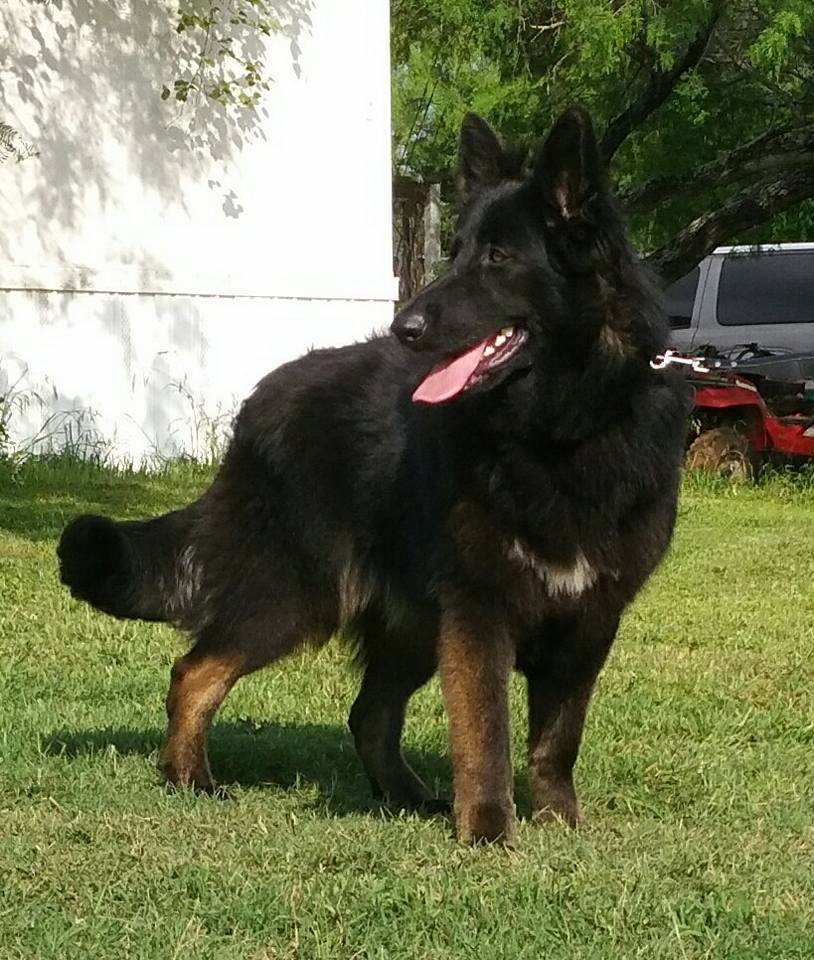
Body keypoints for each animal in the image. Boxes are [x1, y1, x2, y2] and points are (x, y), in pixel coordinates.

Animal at [57, 107, 692, 840]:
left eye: (498, 258)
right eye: (457, 252)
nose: (404, 326)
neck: (559, 430)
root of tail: (256, 406)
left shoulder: (589, 620)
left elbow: (556, 739)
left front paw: (558, 823)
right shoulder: (478, 611)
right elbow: (486, 734)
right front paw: (489, 832)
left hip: (408, 625)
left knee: (368, 715)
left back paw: (406, 796)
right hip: (294, 595)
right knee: (193, 672)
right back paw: (191, 779)